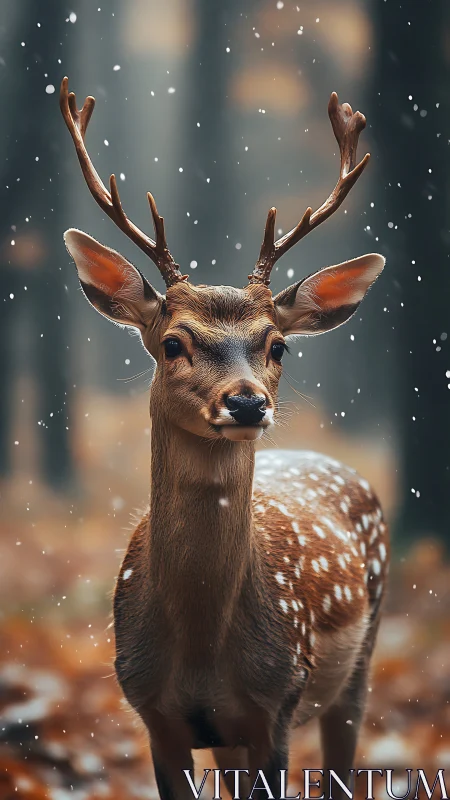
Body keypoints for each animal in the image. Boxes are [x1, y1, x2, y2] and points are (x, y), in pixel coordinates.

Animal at [60, 76, 389, 800]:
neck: (203, 652)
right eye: (172, 342)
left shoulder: (279, 699)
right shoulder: (153, 712)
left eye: (279, 345)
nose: (246, 401)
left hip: (358, 663)